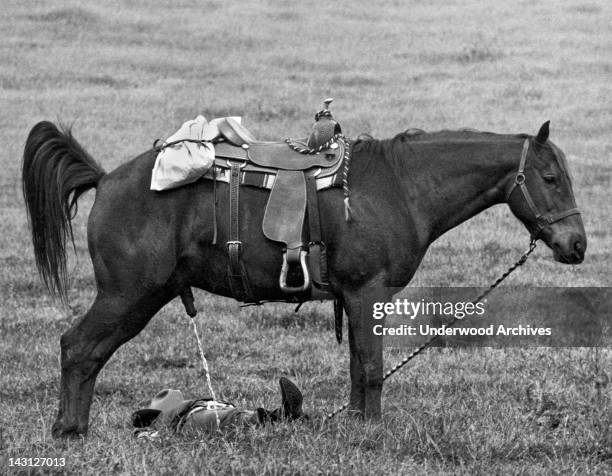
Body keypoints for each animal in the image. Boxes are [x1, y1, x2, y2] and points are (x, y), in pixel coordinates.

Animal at [22, 118, 588, 436]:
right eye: (551, 178)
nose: (577, 245)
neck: (400, 187)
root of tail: (106, 180)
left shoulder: (359, 298)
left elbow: (359, 364)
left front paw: (357, 422)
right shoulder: (367, 292)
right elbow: (371, 367)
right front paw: (372, 432)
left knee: (85, 352)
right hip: (129, 294)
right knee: (78, 347)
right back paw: (68, 429)